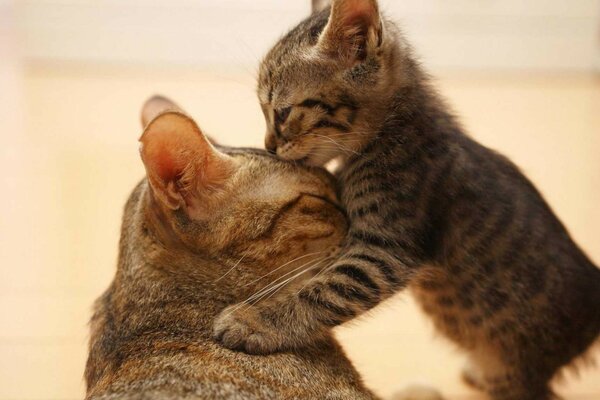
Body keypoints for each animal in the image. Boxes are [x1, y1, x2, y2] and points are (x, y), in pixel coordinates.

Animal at [212, 1, 600, 398]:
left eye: (282, 112)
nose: (269, 146)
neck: (389, 133)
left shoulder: (385, 249)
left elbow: (324, 291)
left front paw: (255, 321)